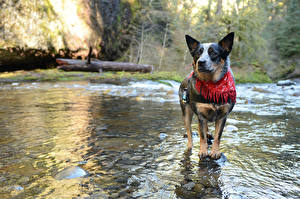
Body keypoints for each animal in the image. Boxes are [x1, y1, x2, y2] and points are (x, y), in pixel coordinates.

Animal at [178, 32, 237, 160]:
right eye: (198, 53)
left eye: (213, 53)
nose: (201, 62)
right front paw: (203, 151)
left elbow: (218, 136)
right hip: (186, 113)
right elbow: (202, 136)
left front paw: (215, 151)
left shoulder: (223, 116)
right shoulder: (201, 115)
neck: (212, 85)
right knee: (190, 132)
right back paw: (190, 146)